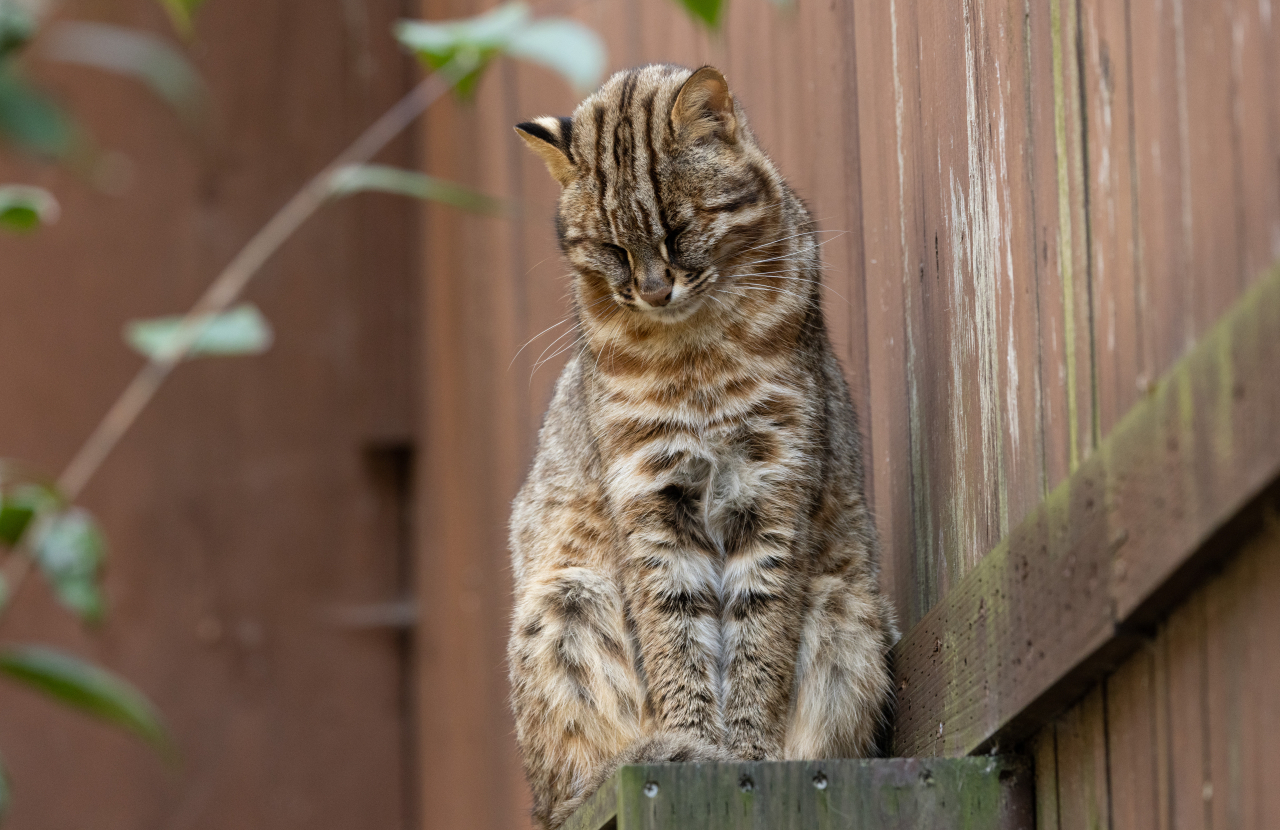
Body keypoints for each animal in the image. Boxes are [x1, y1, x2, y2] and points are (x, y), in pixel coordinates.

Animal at [504, 66, 896, 830]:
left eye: (681, 229)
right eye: (612, 248)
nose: (654, 291)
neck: (695, 353)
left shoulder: (774, 486)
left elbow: (759, 638)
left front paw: (746, 754)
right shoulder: (648, 496)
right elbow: (673, 634)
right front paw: (694, 743)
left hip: (848, 606)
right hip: (565, 596)